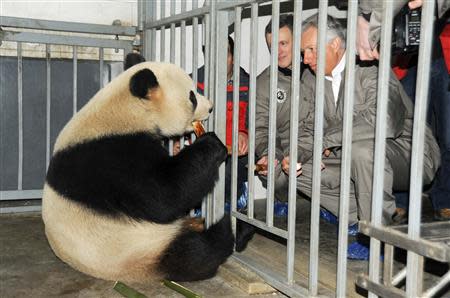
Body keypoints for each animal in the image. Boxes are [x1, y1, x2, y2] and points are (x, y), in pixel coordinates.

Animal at [42, 54, 236, 282]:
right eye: (192, 97)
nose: (211, 107)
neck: (126, 109)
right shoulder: (116, 159)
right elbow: (164, 196)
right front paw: (212, 144)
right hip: (138, 248)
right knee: (193, 253)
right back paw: (227, 228)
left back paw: (195, 223)